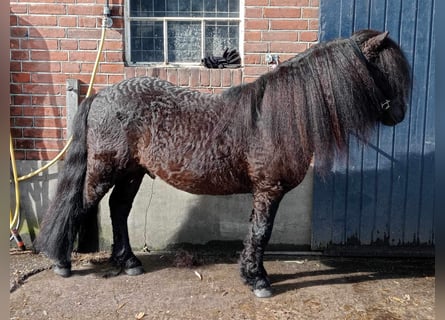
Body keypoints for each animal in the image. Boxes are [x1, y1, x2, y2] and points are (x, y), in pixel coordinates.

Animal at [33, 30, 410, 298]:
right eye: (386, 72)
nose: (400, 115)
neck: (278, 117)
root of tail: (101, 95)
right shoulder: (269, 189)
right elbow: (262, 232)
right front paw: (258, 281)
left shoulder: (263, 191)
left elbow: (255, 231)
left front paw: (251, 273)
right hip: (105, 170)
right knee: (82, 204)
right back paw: (62, 262)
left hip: (132, 173)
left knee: (118, 210)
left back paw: (128, 262)